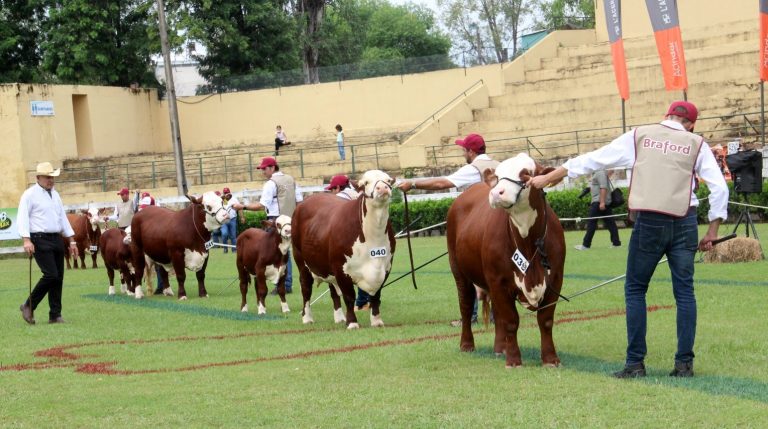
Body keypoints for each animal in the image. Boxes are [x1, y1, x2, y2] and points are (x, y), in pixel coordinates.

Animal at [290, 169, 392, 326]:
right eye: (365, 182)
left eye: (388, 180)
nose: (383, 188)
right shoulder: (340, 268)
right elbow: (349, 297)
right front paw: (352, 323)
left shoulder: (385, 266)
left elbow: (375, 296)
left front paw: (376, 321)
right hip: (301, 261)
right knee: (306, 289)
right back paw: (307, 318)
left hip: (326, 264)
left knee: (333, 291)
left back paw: (339, 318)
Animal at [448, 154, 568, 368]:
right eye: (498, 175)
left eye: (526, 173)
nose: (496, 192)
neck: (527, 241)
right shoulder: (499, 281)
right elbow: (511, 321)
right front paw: (513, 360)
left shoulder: (555, 279)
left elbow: (545, 320)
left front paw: (550, 359)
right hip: (459, 271)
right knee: (466, 306)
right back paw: (467, 344)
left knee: (497, 314)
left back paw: (499, 348)